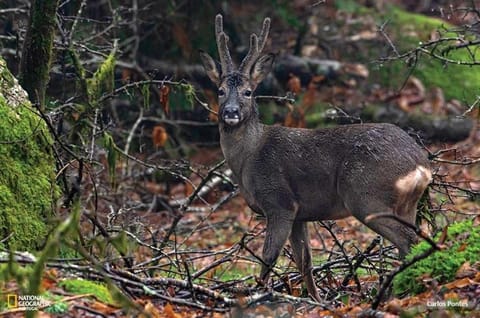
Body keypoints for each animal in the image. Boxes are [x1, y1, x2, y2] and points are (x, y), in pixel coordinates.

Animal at [199, 15, 432, 304]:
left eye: (248, 92)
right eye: (219, 91)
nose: (230, 112)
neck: (248, 159)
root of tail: (420, 164)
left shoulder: (279, 202)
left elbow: (268, 257)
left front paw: (257, 294)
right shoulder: (300, 213)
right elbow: (305, 262)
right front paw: (317, 301)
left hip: (367, 196)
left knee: (408, 241)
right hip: (406, 204)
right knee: (413, 240)